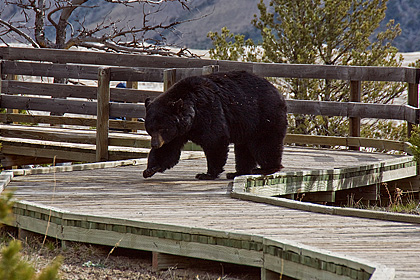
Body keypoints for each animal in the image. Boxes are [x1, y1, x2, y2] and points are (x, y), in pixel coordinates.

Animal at [143, 70, 288, 179]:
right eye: (150, 129)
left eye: (162, 128)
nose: (154, 144)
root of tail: (280, 94)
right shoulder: (179, 132)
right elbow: (169, 149)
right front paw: (150, 169)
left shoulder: (208, 110)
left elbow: (215, 140)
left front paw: (207, 174)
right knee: (243, 148)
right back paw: (238, 172)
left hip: (264, 117)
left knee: (265, 144)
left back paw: (266, 168)